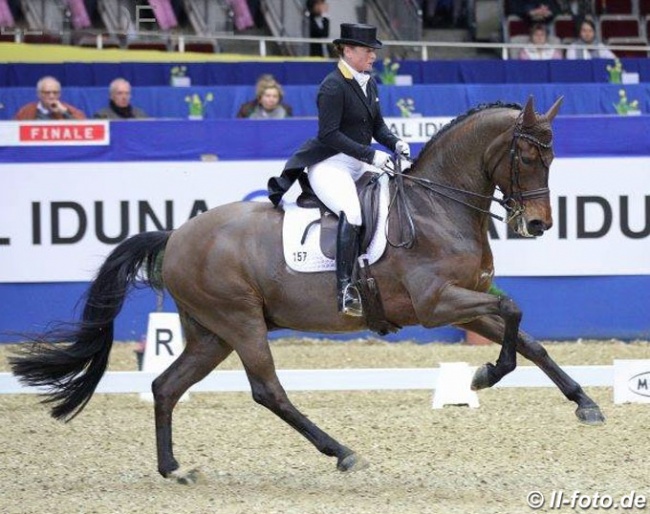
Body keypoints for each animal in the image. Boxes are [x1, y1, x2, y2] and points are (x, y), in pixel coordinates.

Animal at [8, 97, 604, 484]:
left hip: (210, 333)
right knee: (268, 391)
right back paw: (341, 452)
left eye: (552, 157)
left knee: (165, 386)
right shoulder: (438, 305)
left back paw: (173, 469)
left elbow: (528, 338)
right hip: (241, 322)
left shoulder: (463, 304)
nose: (538, 225)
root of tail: (176, 234)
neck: (439, 205)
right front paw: (484, 375)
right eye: (527, 156)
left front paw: (585, 403)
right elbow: (514, 312)